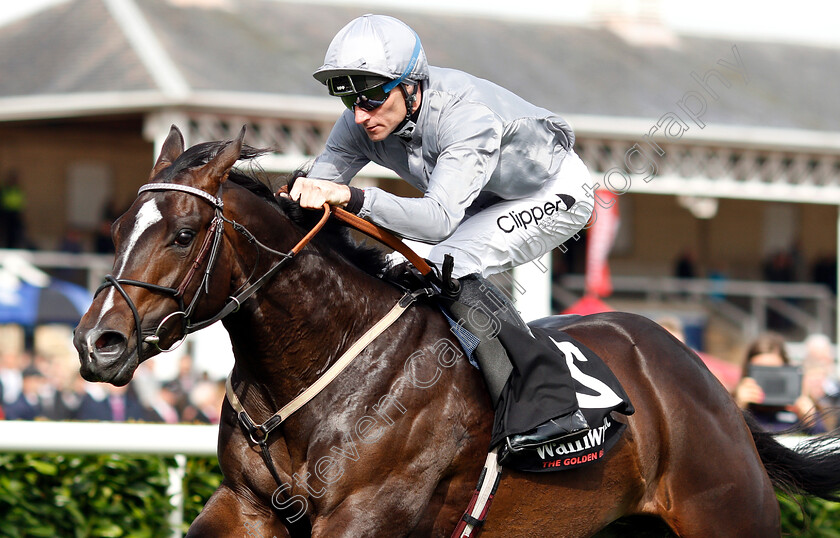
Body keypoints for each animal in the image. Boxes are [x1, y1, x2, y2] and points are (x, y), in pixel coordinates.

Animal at [74, 126, 840, 536]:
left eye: (182, 233)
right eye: (116, 228)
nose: (97, 343)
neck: (315, 369)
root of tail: (705, 380)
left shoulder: (368, 513)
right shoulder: (244, 507)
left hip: (726, 513)